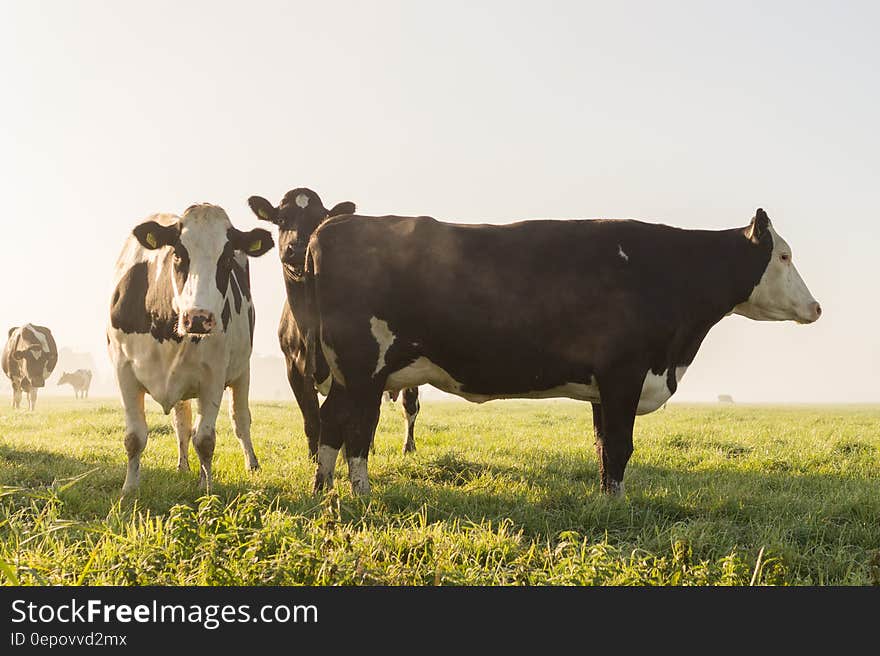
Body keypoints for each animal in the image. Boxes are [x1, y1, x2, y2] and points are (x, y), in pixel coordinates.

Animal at [109, 205, 276, 492]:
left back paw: (251, 464)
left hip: (242, 371)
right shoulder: (124, 371)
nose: (198, 318)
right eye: (178, 255)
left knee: (240, 419)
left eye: (226, 259)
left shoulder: (213, 376)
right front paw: (129, 489)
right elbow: (134, 437)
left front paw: (206, 489)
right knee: (182, 423)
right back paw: (183, 466)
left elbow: (205, 440)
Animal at [246, 188, 422, 456]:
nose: (298, 249)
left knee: (409, 406)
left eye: (319, 219)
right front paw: (314, 456)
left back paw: (407, 447)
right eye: (282, 219)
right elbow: (312, 419)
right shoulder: (294, 369)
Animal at [300, 208, 820, 494]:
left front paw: (609, 502)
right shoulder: (624, 373)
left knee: (331, 422)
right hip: (364, 367)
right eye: (785, 255)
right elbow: (620, 446)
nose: (816, 307)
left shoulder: (603, 385)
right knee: (356, 430)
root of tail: (333, 224)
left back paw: (324, 491)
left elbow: (604, 447)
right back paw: (360, 494)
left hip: (352, 374)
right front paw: (617, 506)